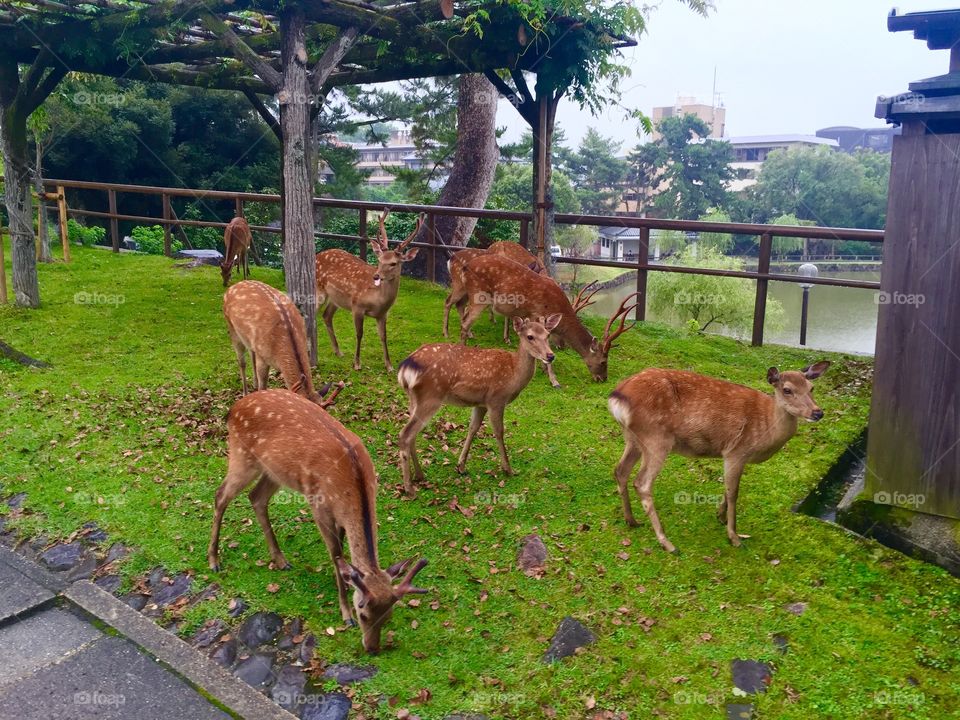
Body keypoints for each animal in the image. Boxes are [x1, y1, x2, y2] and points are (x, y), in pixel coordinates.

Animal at [208, 389, 428, 654]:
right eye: (363, 613)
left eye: (389, 616)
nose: (372, 649)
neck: (352, 488)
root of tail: (233, 409)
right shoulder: (319, 506)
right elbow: (336, 554)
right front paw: (345, 614)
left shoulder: (340, 517)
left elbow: (343, 557)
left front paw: (344, 585)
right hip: (242, 457)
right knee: (220, 495)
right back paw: (214, 560)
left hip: (274, 470)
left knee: (257, 497)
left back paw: (280, 560)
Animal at [316, 211, 421, 372]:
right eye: (379, 260)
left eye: (393, 263)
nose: (376, 276)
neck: (379, 301)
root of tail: (317, 255)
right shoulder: (357, 306)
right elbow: (359, 333)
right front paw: (357, 364)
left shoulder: (383, 314)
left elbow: (384, 336)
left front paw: (389, 365)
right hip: (318, 290)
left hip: (336, 299)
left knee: (326, 315)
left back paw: (338, 352)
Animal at [396, 314, 561, 497]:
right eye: (530, 336)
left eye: (547, 335)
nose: (550, 355)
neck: (514, 374)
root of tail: (404, 369)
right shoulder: (496, 399)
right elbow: (499, 432)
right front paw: (508, 469)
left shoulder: (480, 403)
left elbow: (473, 428)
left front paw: (461, 466)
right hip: (431, 397)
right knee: (405, 434)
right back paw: (409, 488)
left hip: (414, 399)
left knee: (411, 435)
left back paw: (419, 475)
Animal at [449, 253, 637, 387]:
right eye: (604, 361)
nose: (603, 379)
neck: (559, 307)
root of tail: (465, 267)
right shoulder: (538, 314)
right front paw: (554, 380)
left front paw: (543, 369)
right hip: (479, 294)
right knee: (465, 321)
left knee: (462, 312)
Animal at [607, 361, 831, 553]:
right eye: (787, 389)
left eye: (811, 387)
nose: (817, 412)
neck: (766, 429)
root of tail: (616, 397)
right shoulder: (735, 451)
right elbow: (734, 493)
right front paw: (734, 537)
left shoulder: (735, 456)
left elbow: (727, 487)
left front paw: (720, 516)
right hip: (656, 438)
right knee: (642, 482)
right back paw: (667, 543)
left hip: (633, 438)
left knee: (620, 470)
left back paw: (632, 520)